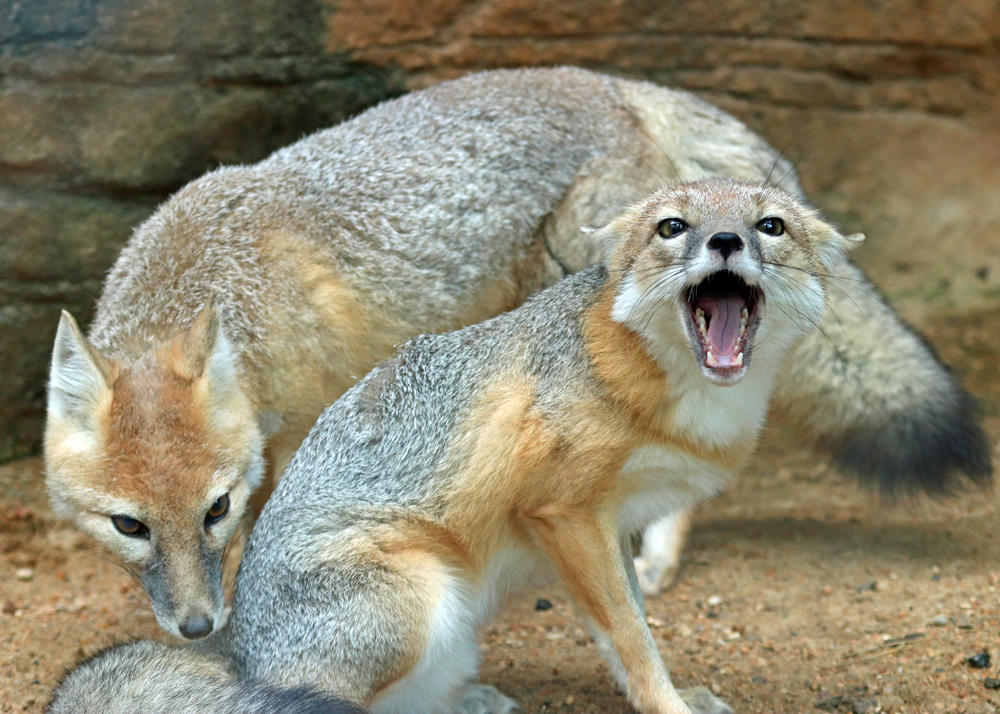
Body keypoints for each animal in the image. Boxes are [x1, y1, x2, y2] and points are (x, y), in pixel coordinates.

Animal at [44, 67, 991, 640]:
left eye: (215, 510)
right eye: (129, 526)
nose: (196, 628)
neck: (219, 273)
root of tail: (620, 84)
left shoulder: (319, 422)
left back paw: (652, 547)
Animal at [51, 179, 864, 714]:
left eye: (769, 226)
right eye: (673, 227)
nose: (725, 241)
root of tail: (237, 639)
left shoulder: (616, 527)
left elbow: (630, 629)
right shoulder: (566, 514)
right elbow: (630, 636)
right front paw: (669, 707)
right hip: (422, 596)